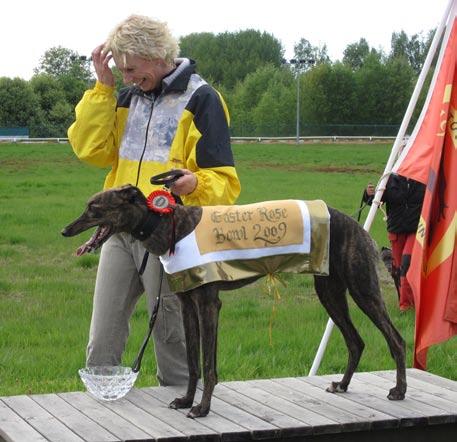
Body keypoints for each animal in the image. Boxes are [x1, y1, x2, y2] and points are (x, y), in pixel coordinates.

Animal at [61, 184, 406, 418]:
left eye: (94, 207)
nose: (65, 229)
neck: (168, 226)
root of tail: (358, 226)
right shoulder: (188, 305)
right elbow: (193, 363)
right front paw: (186, 400)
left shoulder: (209, 305)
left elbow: (208, 365)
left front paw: (202, 408)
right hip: (330, 292)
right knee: (355, 341)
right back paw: (343, 385)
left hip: (362, 289)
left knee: (395, 338)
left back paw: (399, 391)